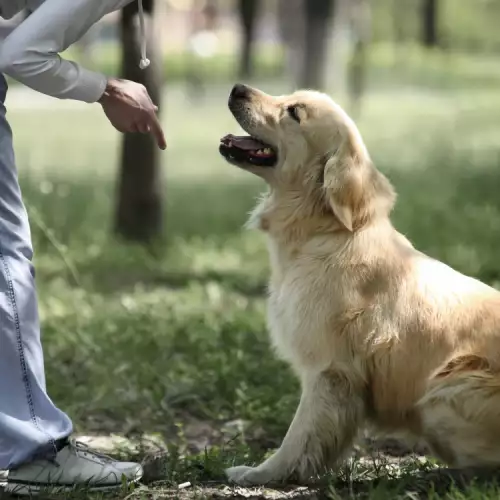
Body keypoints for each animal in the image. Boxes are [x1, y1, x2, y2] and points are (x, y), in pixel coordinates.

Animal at [219, 84, 500, 486]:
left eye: (294, 112)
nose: (237, 88)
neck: (326, 231)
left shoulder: (329, 370)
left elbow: (298, 436)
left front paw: (263, 473)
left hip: (447, 388)